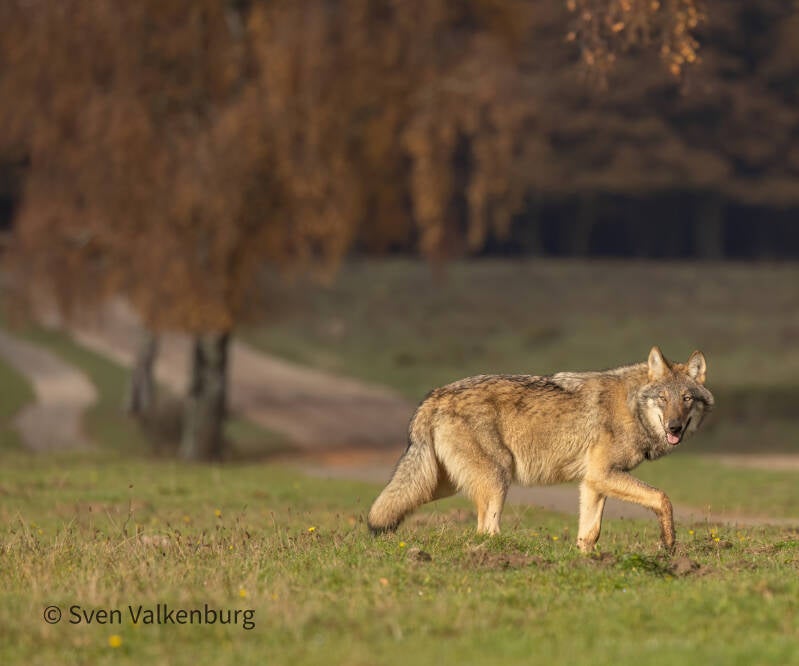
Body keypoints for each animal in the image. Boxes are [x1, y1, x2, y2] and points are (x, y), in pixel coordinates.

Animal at [368, 347, 714, 552]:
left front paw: (588, 562)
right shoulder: (603, 474)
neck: (632, 407)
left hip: (440, 485)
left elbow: (589, 533)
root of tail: (434, 396)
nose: (674, 428)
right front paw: (669, 545)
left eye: (686, 399)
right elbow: (662, 498)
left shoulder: (592, 482)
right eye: (663, 399)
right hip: (497, 479)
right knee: (486, 531)